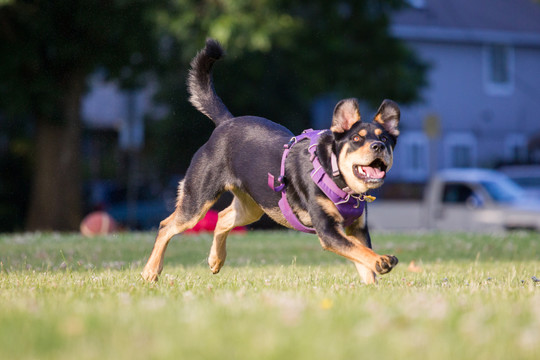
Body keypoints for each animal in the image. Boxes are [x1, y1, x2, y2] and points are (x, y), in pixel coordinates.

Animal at [141, 39, 398, 286]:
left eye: (385, 138)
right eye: (356, 139)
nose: (378, 146)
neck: (334, 173)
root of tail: (226, 123)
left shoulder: (357, 229)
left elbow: (364, 264)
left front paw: (372, 285)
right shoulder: (328, 231)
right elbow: (361, 252)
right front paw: (382, 261)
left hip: (253, 206)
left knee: (223, 218)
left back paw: (216, 259)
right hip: (198, 200)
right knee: (166, 226)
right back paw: (150, 271)